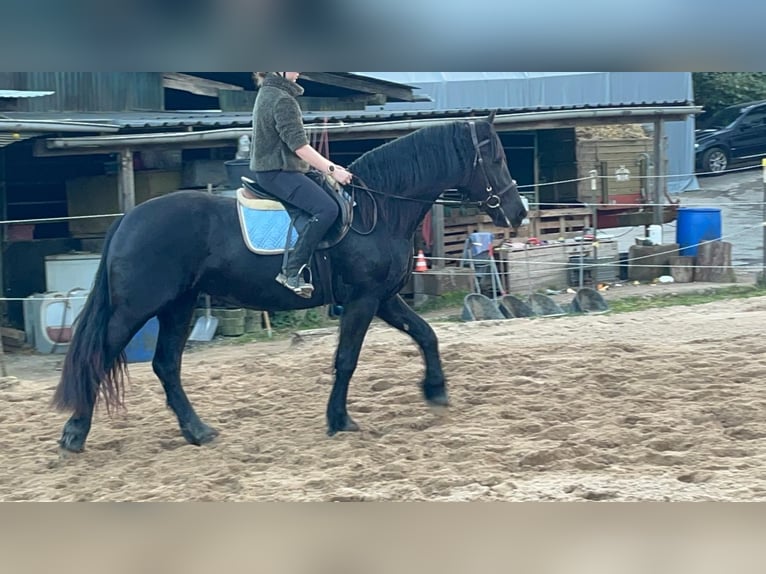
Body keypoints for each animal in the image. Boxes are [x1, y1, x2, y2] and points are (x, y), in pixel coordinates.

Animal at [51, 115, 528, 452]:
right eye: (497, 159)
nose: (519, 212)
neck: (378, 210)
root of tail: (129, 217)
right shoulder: (364, 300)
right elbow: (346, 360)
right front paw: (339, 420)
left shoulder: (384, 298)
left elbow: (427, 335)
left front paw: (436, 392)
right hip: (137, 307)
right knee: (99, 356)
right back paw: (75, 433)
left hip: (179, 306)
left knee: (166, 365)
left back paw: (197, 431)